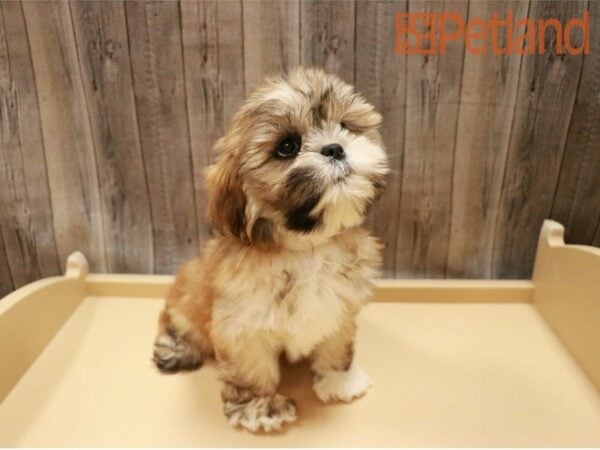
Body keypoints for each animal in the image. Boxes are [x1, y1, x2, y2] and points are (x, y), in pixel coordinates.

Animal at [151, 67, 390, 432]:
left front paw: (339, 380)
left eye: (345, 126)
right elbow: (252, 367)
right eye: (287, 147)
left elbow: (336, 343)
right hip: (187, 296)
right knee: (176, 319)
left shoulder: (340, 306)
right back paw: (176, 349)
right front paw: (260, 407)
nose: (335, 148)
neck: (307, 249)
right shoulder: (240, 326)